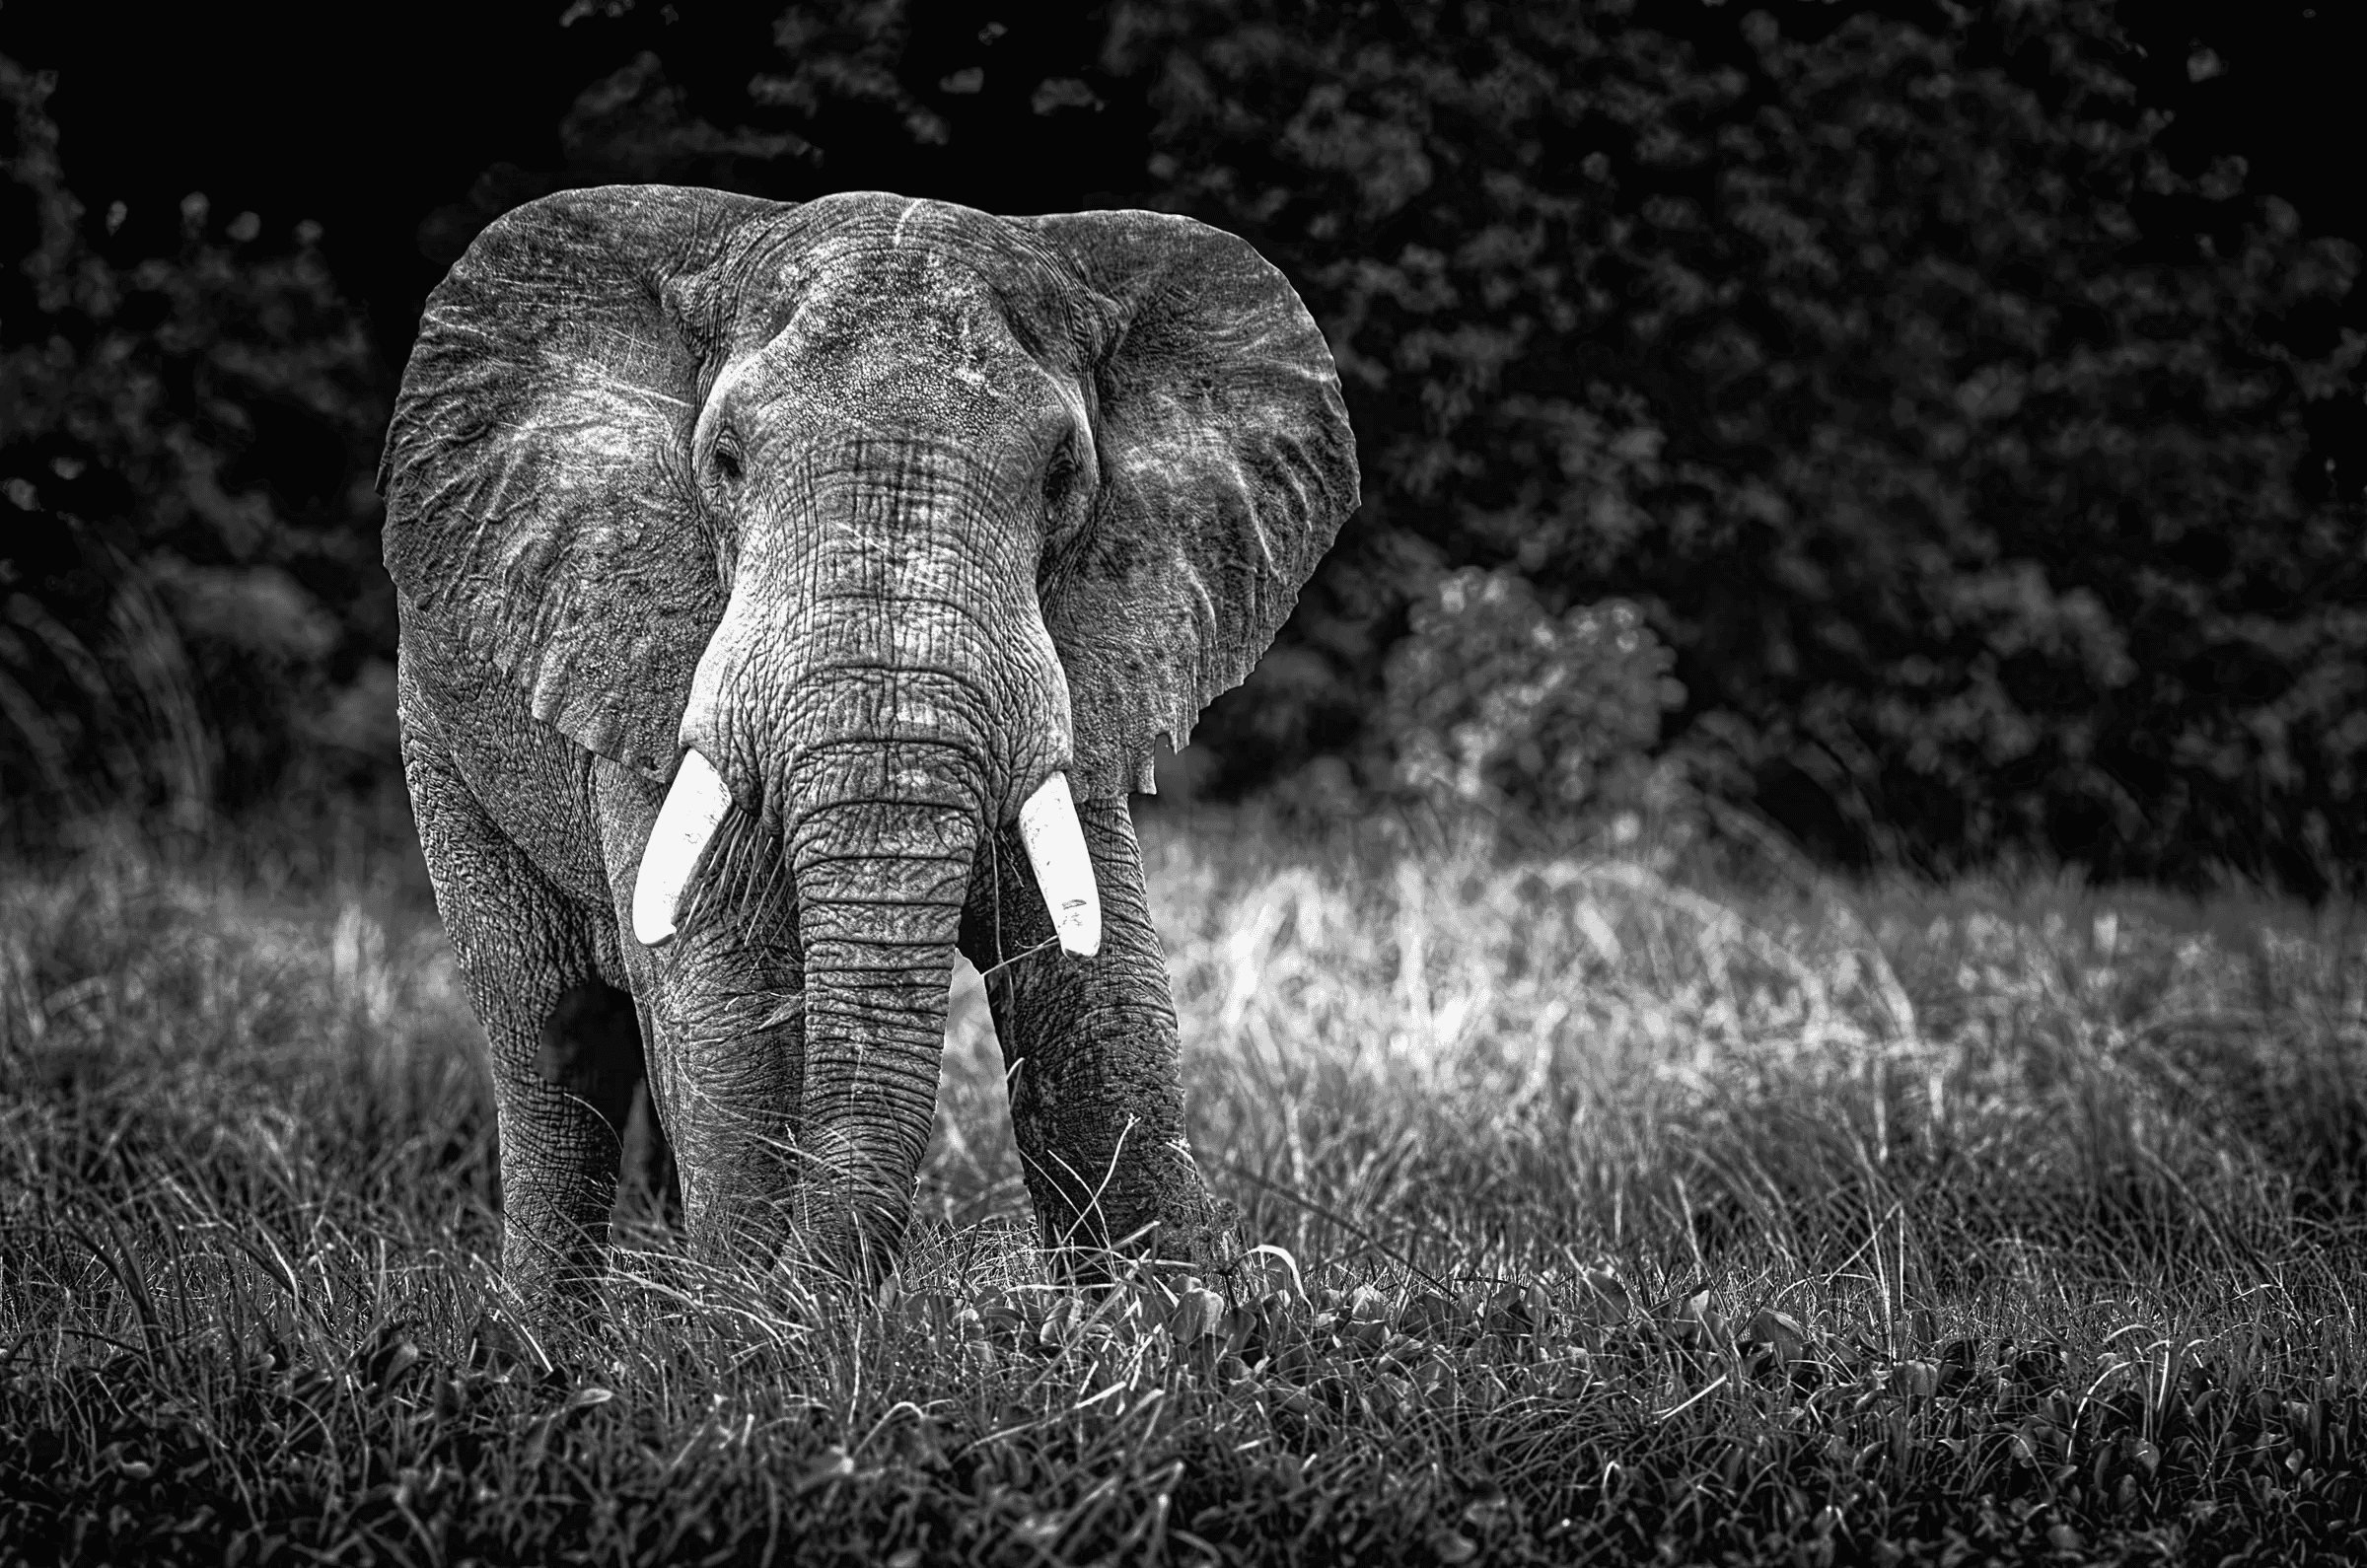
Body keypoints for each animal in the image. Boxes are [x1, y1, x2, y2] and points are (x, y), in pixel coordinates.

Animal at [378, 184, 1359, 1314]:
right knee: (548, 1036)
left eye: (1063, 475)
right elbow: (724, 1000)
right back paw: (551, 1335)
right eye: (724, 462)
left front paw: (1188, 1317)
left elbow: (1099, 996)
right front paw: (752, 1333)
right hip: (437, 741)